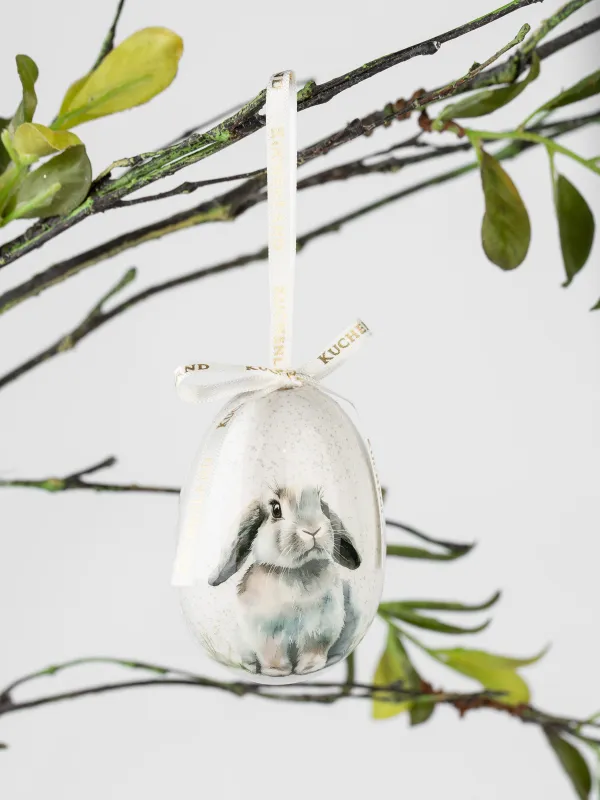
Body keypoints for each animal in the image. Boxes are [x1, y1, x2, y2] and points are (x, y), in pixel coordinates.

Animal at [208, 485, 361, 676]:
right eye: (276, 509)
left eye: (320, 504)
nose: (312, 530)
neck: (297, 572)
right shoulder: (267, 633)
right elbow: (273, 653)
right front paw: (277, 672)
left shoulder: (320, 628)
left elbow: (313, 650)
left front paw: (309, 668)